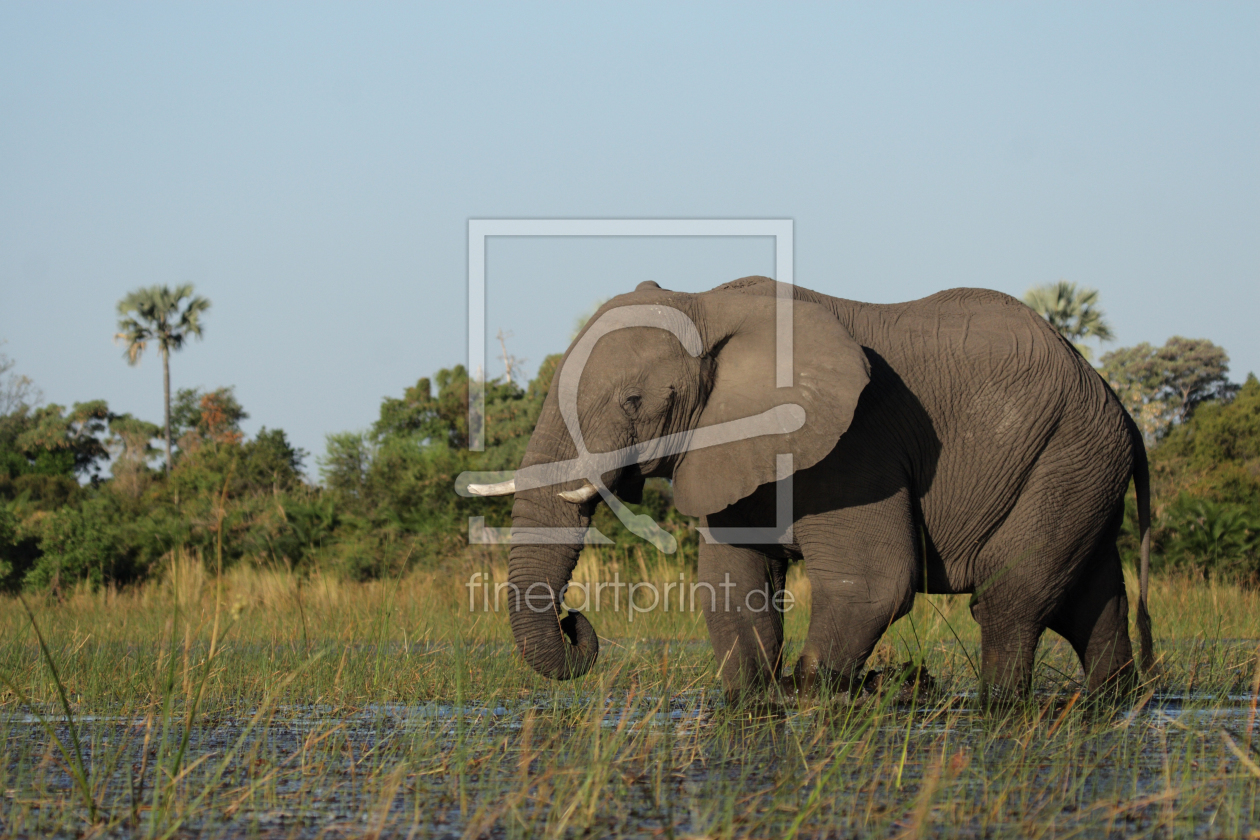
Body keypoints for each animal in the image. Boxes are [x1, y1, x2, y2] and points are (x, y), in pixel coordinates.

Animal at [466, 277, 1154, 705]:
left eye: (633, 401)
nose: (574, 621)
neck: (710, 306)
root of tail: (1115, 398)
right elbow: (734, 588)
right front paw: (752, 704)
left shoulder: (859, 443)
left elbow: (872, 580)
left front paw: (813, 698)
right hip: (1078, 462)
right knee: (1089, 598)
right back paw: (1112, 702)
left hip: (1068, 450)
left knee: (1010, 595)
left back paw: (1000, 706)